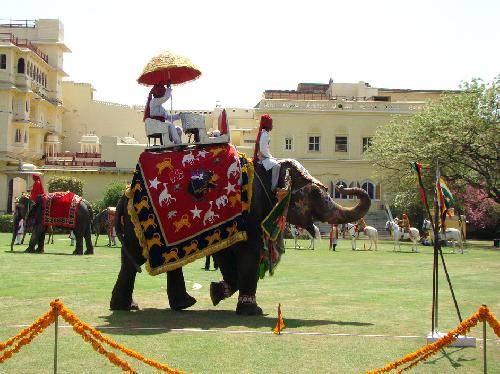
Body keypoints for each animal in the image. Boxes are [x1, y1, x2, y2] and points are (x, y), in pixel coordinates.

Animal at [111, 159, 372, 316]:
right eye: (317, 194)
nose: (341, 186)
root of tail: (124, 195)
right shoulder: (251, 211)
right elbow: (248, 254)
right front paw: (251, 310)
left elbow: (229, 255)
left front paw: (216, 292)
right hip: (137, 227)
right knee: (135, 260)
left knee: (133, 262)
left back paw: (138, 306)